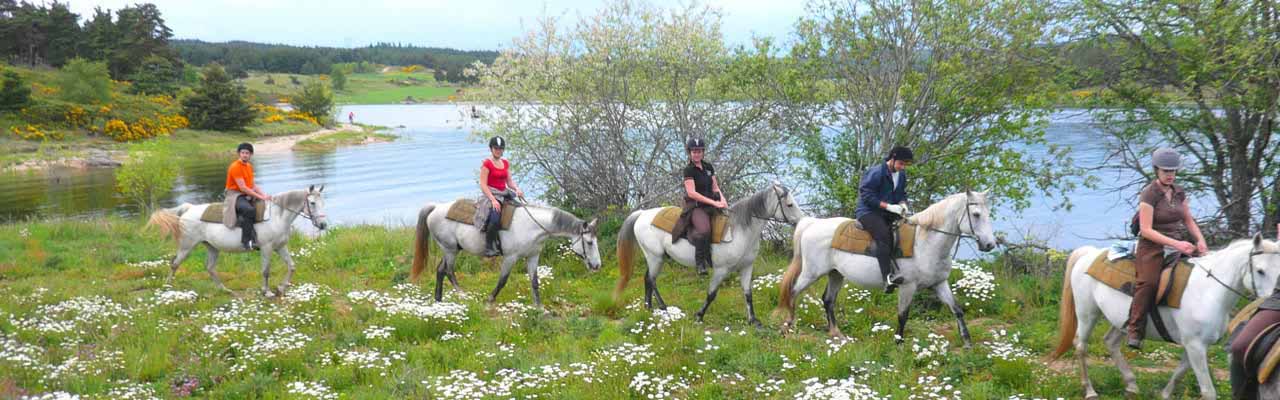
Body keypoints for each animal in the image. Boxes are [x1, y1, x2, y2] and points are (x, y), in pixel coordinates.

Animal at [146, 184, 330, 297]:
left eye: (323, 202)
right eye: (312, 203)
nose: (323, 225)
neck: (277, 216)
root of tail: (188, 209)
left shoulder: (280, 247)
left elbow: (291, 266)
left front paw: (281, 288)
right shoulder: (267, 248)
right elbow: (266, 270)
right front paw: (267, 291)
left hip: (212, 247)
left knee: (210, 268)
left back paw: (224, 289)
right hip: (187, 245)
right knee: (175, 263)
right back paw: (168, 287)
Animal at [414, 200, 604, 308]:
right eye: (589, 242)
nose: (597, 266)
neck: (532, 227)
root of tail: (436, 208)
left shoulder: (533, 257)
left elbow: (535, 282)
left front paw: (539, 307)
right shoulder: (510, 258)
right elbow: (502, 281)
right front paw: (489, 300)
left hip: (450, 250)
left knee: (440, 270)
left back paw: (438, 300)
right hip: (450, 249)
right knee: (448, 271)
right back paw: (462, 294)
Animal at [614, 183, 803, 326]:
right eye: (789, 205)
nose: (801, 221)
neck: (739, 230)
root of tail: (642, 214)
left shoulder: (746, 267)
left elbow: (748, 293)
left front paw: (753, 320)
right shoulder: (721, 270)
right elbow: (711, 294)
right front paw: (699, 316)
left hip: (656, 258)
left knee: (648, 279)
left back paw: (651, 308)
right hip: (655, 257)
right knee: (651, 280)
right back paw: (660, 308)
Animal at [773, 191, 993, 343]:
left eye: (989, 214)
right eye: (976, 214)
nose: (990, 244)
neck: (925, 242)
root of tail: (812, 224)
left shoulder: (939, 283)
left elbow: (957, 310)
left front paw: (967, 342)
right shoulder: (908, 286)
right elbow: (903, 316)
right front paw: (898, 343)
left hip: (835, 274)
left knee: (828, 300)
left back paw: (836, 334)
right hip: (812, 272)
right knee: (793, 291)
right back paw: (787, 326)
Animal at [1049, 234, 1280, 400]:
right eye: (1260, 271)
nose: (1269, 304)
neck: (1209, 290)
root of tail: (1090, 254)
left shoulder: (1194, 346)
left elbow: (1179, 373)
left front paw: (1165, 394)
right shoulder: (1195, 345)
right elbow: (1208, 391)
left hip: (1123, 320)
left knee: (1111, 342)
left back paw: (1131, 385)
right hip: (1087, 313)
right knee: (1081, 346)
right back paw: (1090, 391)